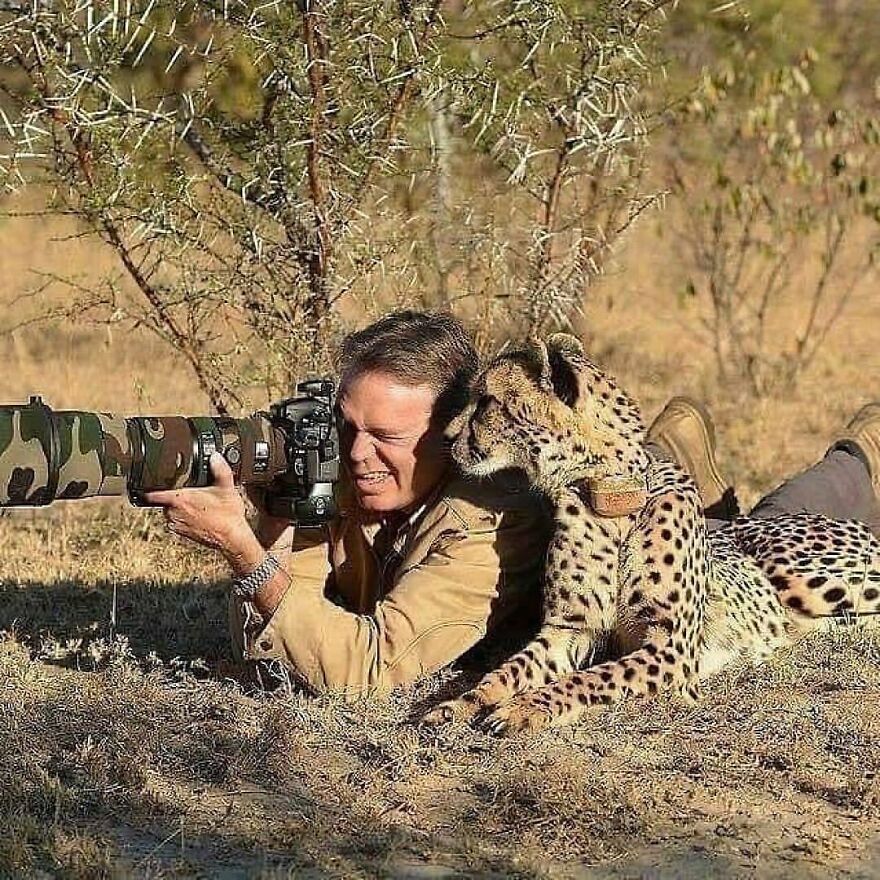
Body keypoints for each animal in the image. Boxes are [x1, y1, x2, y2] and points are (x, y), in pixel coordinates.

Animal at [422, 333, 880, 736]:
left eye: (487, 401)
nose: (446, 437)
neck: (610, 500)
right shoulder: (567, 630)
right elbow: (505, 671)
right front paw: (457, 705)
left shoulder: (670, 648)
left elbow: (591, 678)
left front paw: (526, 707)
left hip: (809, 579)